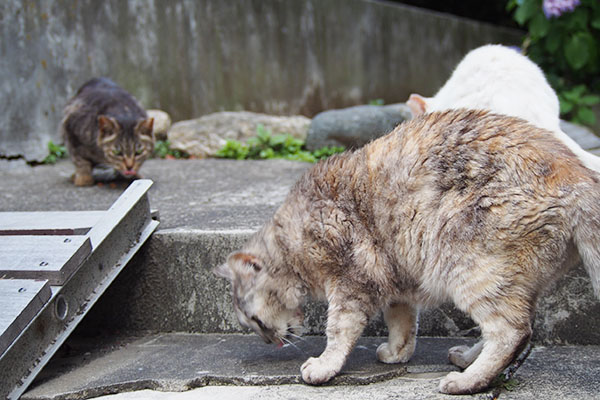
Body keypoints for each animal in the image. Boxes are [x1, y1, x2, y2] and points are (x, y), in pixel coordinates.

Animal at [214, 108, 600, 394]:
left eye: (254, 321)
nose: (268, 341)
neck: (295, 234)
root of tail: (579, 176)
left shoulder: (350, 282)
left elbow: (338, 331)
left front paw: (324, 366)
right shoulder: (395, 279)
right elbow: (401, 324)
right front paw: (397, 353)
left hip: (470, 268)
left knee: (511, 331)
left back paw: (466, 381)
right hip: (512, 281)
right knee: (517, 328)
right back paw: (468, 360)